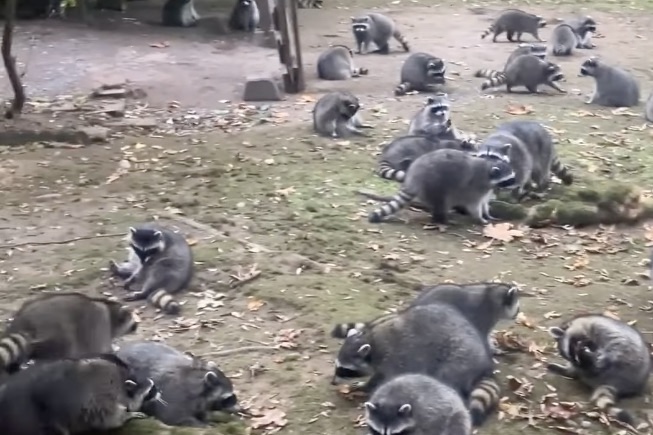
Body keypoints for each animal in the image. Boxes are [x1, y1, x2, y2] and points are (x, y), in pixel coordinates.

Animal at [0, 292, 138, 374]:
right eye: (133, 323)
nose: (137, 326)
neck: (110, 310)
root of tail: (23, 318)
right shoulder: (100, 323)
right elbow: (101, 349)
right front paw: (115, 357)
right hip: (54, 327)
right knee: (66, 341)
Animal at [0, 354, 156, 434]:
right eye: (151, 391)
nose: (159, 393)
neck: (123, 379)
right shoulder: (100, 397)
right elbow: (108, 419)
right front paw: (127, 415)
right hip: (43, 415)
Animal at [333, 303, 500, 426]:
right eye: (337, 366)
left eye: (344, 370)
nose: (333, 382)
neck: (371, 339)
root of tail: (484, 363)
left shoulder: (396, 358)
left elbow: (387, 378)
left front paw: (367, 388)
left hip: (460, 358)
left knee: (447, 377)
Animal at [367, 148, 516, 225]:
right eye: (509, 180)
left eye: (512, 177)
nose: (517, 186)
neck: (488, 169)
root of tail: (413, 175)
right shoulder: (476, 186)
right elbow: (474, 205)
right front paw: (480, 217)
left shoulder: (486, 188)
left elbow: (484, 202)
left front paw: (487, 213)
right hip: (433, 184)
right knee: (442, 201)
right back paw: (442, 219)